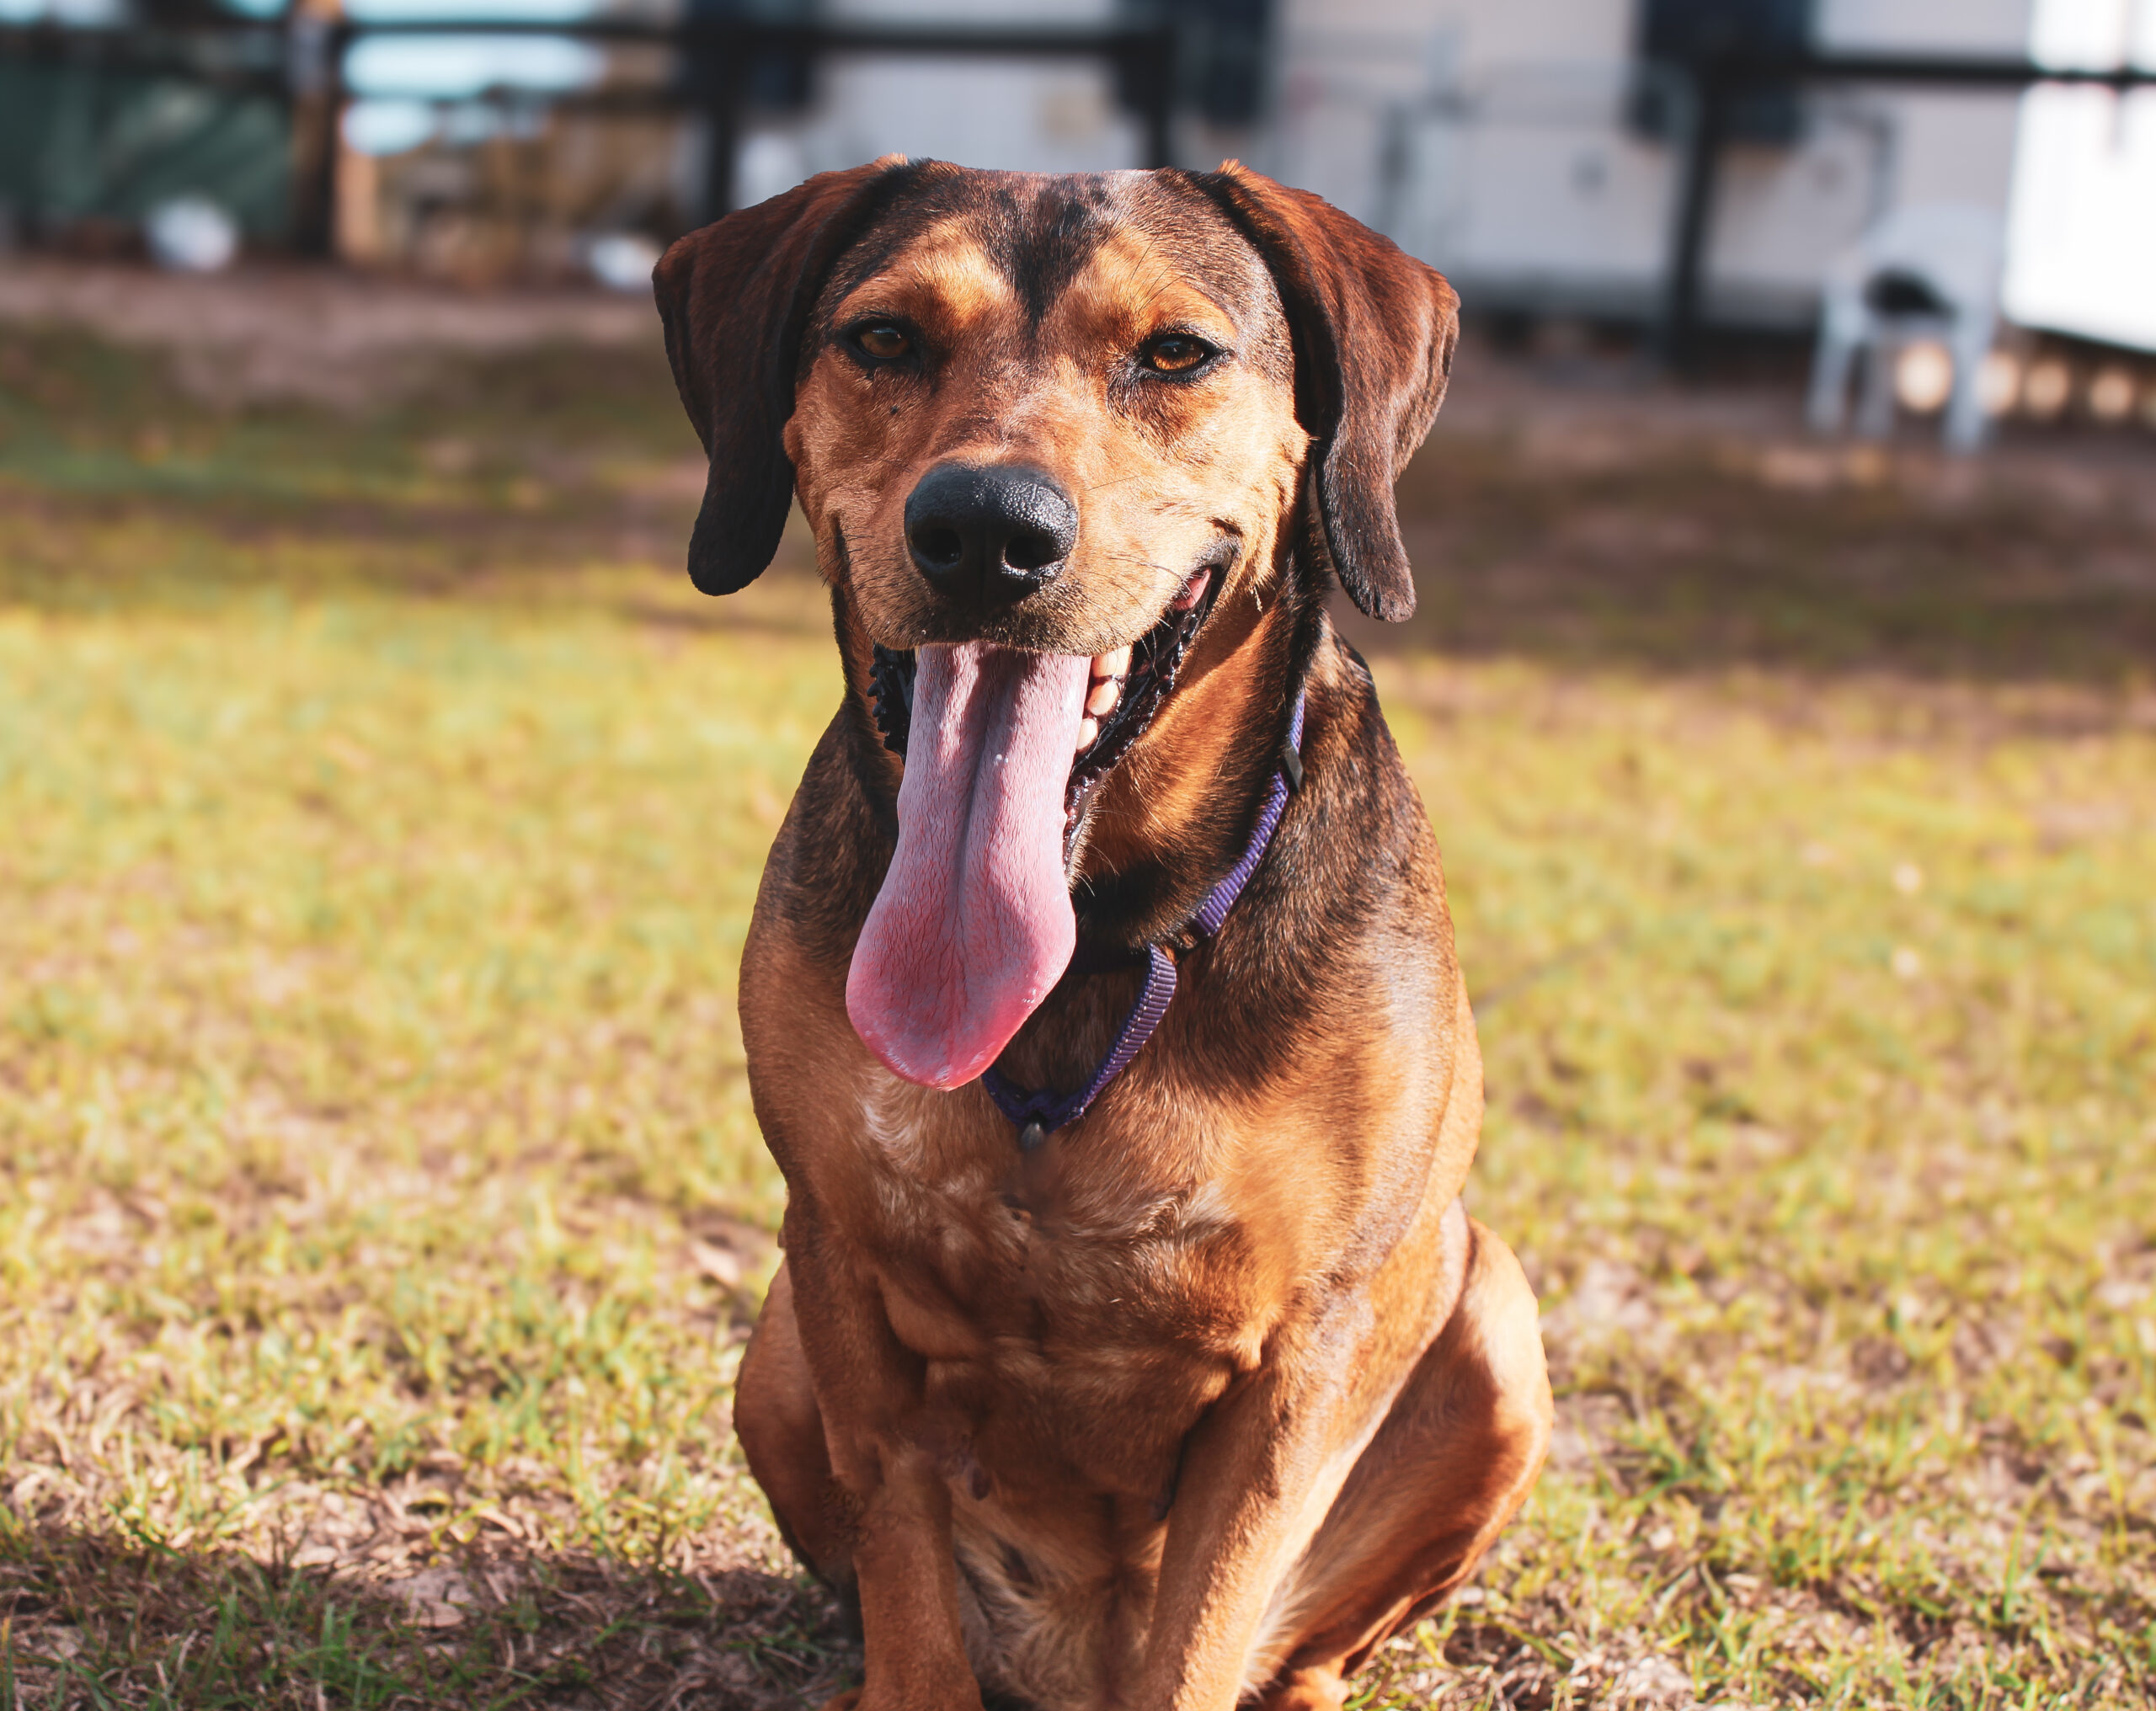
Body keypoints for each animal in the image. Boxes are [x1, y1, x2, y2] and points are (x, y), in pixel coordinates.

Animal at [655, 159, 1552, 1706]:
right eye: (884, 338)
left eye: (1175, 354)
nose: (985, 529)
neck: (1092, 922)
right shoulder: (833, 1260)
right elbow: (902, 1568)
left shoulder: (1302, 1357)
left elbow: (1208, 1626)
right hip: (769, 1348)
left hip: (1494, 1320)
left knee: (1304, 1649)